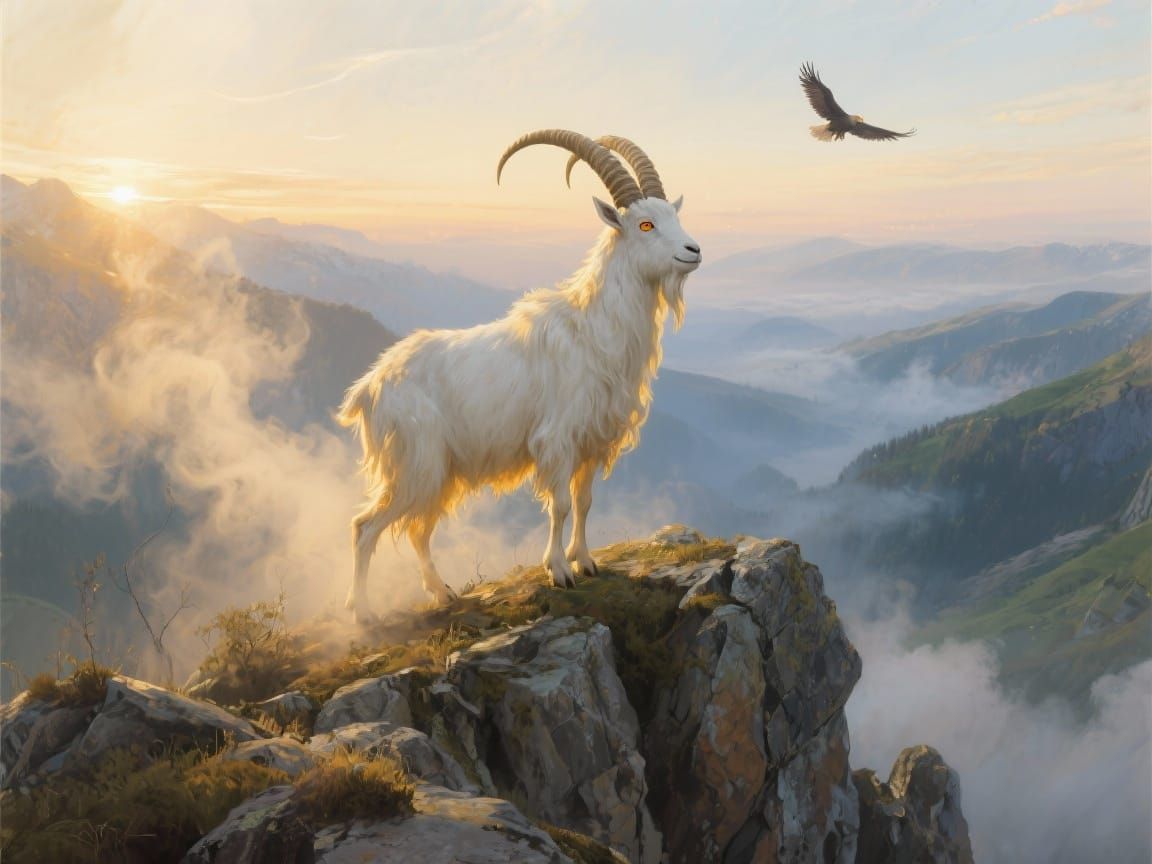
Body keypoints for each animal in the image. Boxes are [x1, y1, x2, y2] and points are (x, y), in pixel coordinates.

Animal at [337, 129, 701, 618]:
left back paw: (441, 592)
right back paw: (361, 610)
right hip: (414, 465)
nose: (693, 251)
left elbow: (584, 502)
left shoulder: (591, 441)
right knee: (366, 525)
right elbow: (560, 505)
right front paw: (559, 570)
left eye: (672, 216)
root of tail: (369, 387)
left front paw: (586, 561)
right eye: (645, 225)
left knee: (417, 529)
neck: (592, 328)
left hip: (439, 472)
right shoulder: (557, 440)